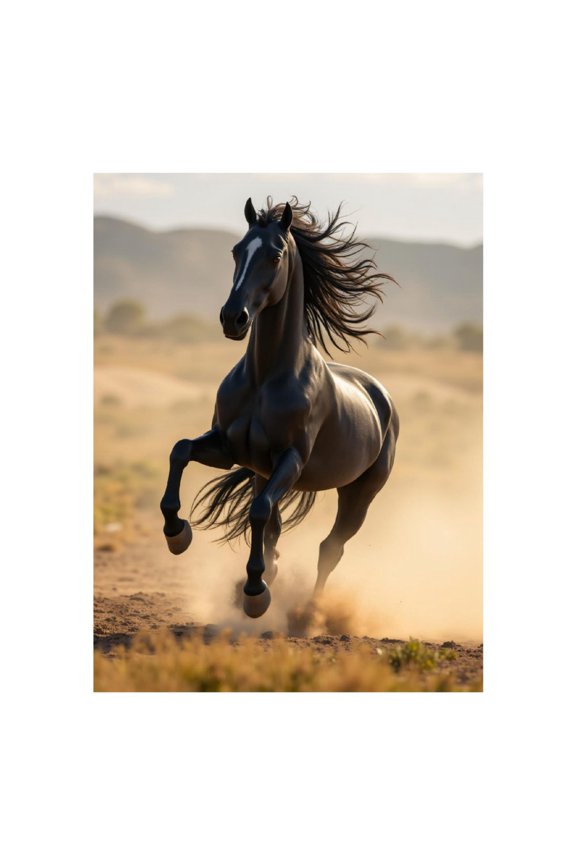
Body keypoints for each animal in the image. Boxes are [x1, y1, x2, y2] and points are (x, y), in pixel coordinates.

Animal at [160, 196, 399, 618]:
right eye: (237, 250)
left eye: (274, 255)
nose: (232, 318)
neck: (265, 378)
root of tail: (381, 396)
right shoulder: (228, 449)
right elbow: (180, 450)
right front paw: (177, 533)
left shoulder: (292, 460)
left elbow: (258, 513)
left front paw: (255, 593)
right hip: (261, 472)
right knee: (276, 526)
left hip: (358, 494)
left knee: (329, 548)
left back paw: (308, 611)